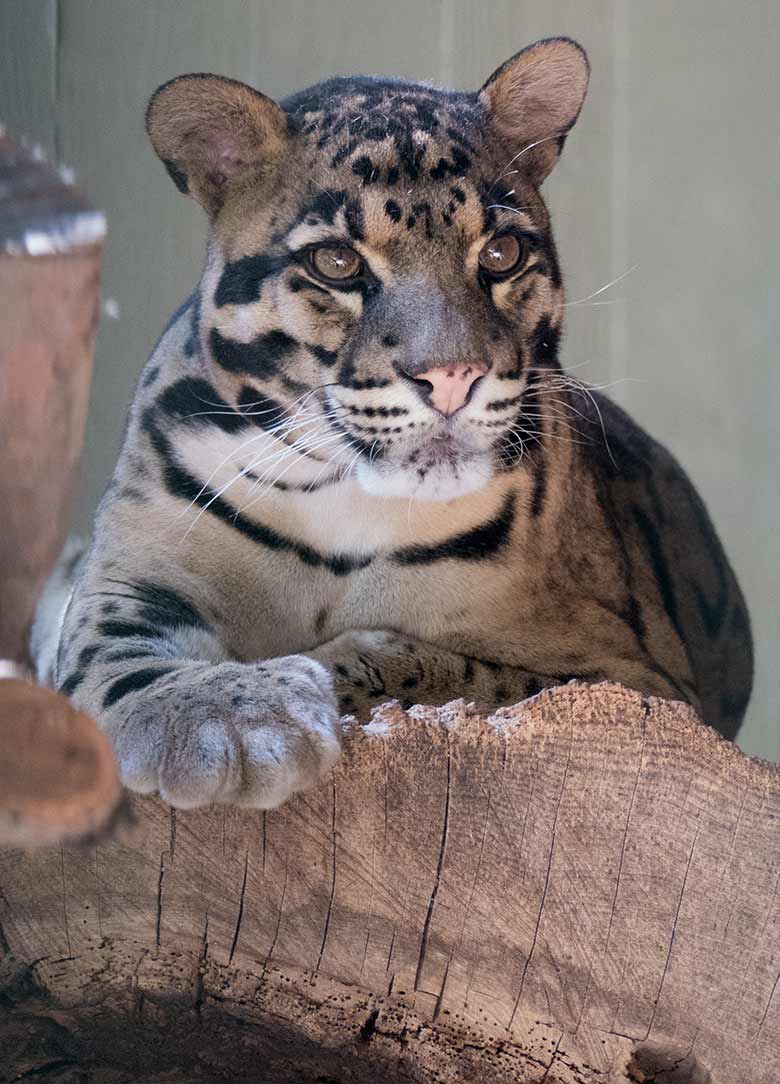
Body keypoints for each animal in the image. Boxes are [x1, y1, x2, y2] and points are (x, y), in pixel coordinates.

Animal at [34, 38, 749, 806]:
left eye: (501, 253)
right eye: (337, 261)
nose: (453, 377)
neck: (344, 503)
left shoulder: (638, 684)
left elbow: (453, 667)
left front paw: (307, 682)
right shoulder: (129, 566)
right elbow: (111, 641)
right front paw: (222, 719)